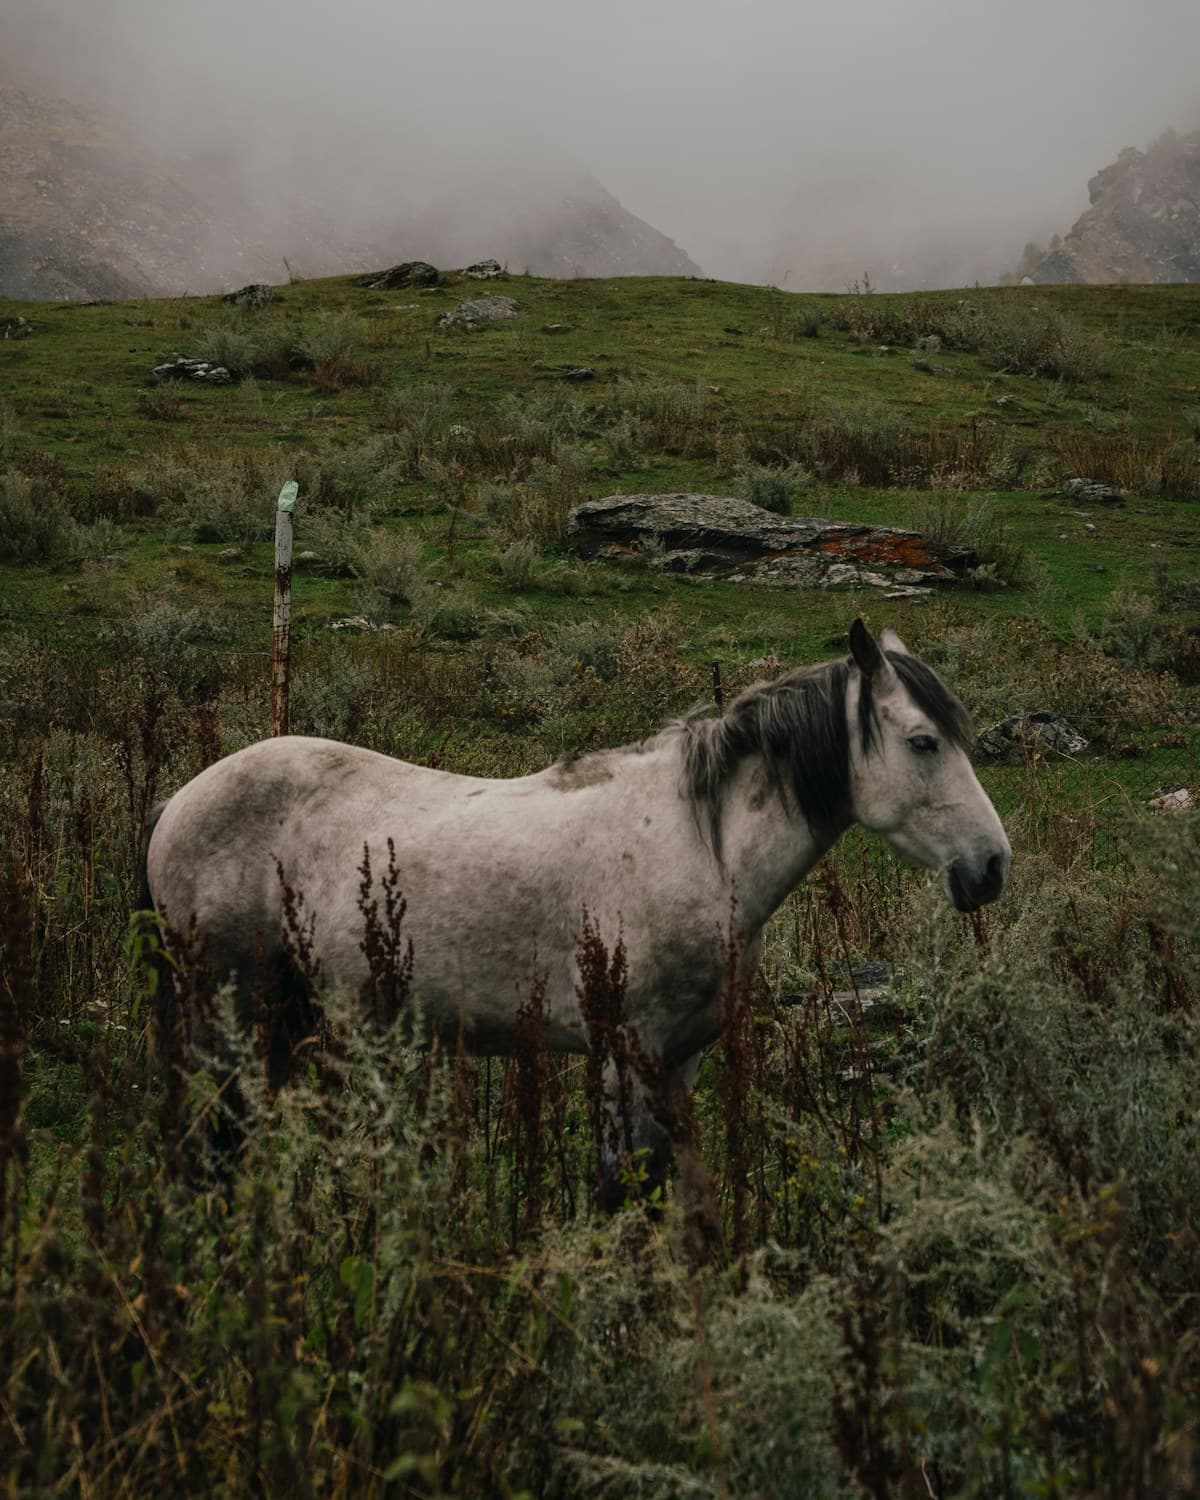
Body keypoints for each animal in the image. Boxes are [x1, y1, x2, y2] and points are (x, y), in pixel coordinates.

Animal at [144, 618, 1010, 1194]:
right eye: (925, 742)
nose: (991, 867)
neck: (698, 844)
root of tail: (177, 805)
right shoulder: (624, 1049)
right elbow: (623, 1189)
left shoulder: (680, 1058)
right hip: (228, 1006)